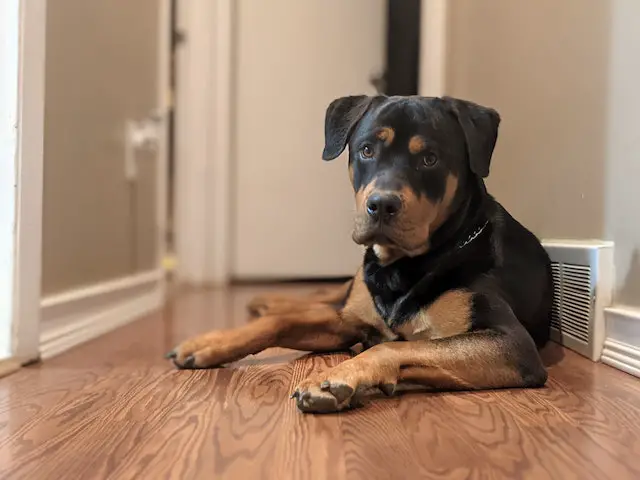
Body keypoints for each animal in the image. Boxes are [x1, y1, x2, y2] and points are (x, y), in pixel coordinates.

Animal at [168, 95, 552, 414]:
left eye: (429, 159)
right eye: (366, 150)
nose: (381, 204)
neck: (403, 266)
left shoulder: (510, 344)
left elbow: (391, 347)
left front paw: (334, 380)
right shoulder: (351, 319)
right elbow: (281, 322)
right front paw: (209, 343)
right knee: (320, 296)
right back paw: (265, 301)